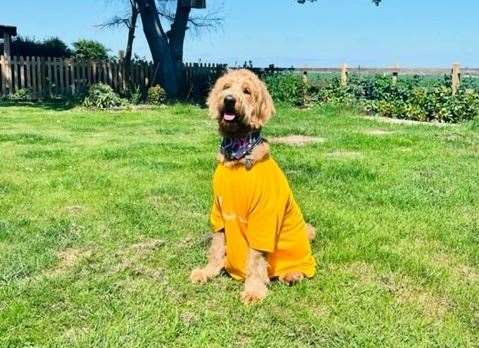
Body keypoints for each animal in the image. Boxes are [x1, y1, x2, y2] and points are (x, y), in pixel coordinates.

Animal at [189, 69, 316, 304]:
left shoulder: (263, 217)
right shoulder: (219, 212)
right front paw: (208, 271)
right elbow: (216, 246)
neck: (237, 156)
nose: (229, 100)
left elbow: (256, 259)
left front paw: (254, 290)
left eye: (247, 91)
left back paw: (292, 274)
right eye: (226, 87)